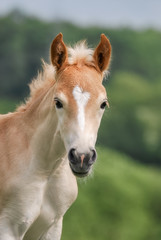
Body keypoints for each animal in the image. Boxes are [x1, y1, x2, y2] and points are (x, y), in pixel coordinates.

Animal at [0, 32, 110, 239]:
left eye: (103, 104)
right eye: (58, 102)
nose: (82, 158)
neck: (46, 171)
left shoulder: (52, 227)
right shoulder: (8, 227)